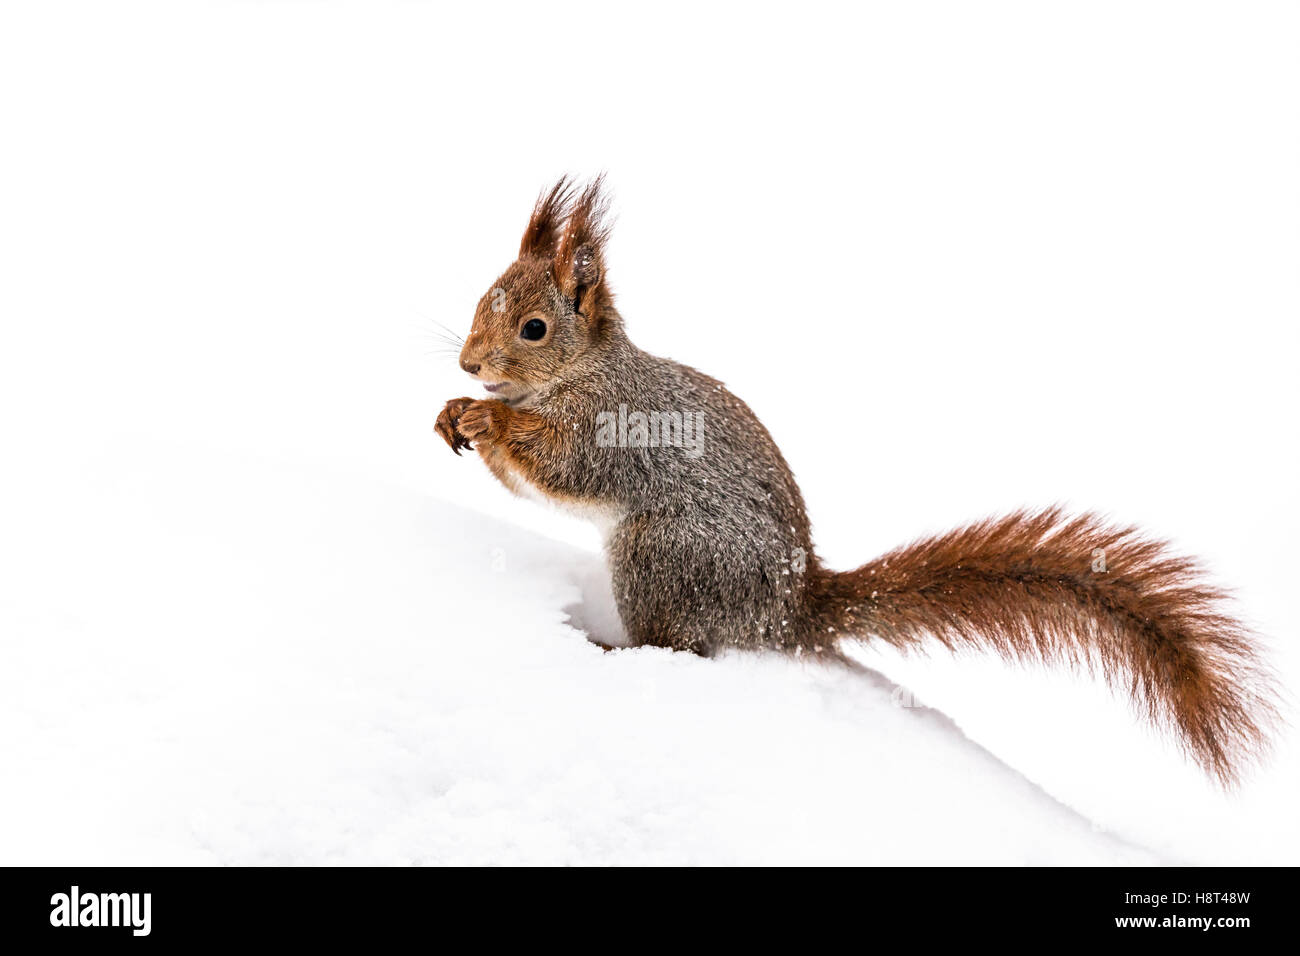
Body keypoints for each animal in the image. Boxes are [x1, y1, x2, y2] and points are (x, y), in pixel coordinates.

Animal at [435, 177, 1277, 786]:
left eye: (535, 328)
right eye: (481, 300)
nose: (469, 365)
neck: (579, 372)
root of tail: (788, 611)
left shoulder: (616, 428)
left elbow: (564, 463)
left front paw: (489, 420)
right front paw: (453, 415)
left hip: (665, 553)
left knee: (684, 647)